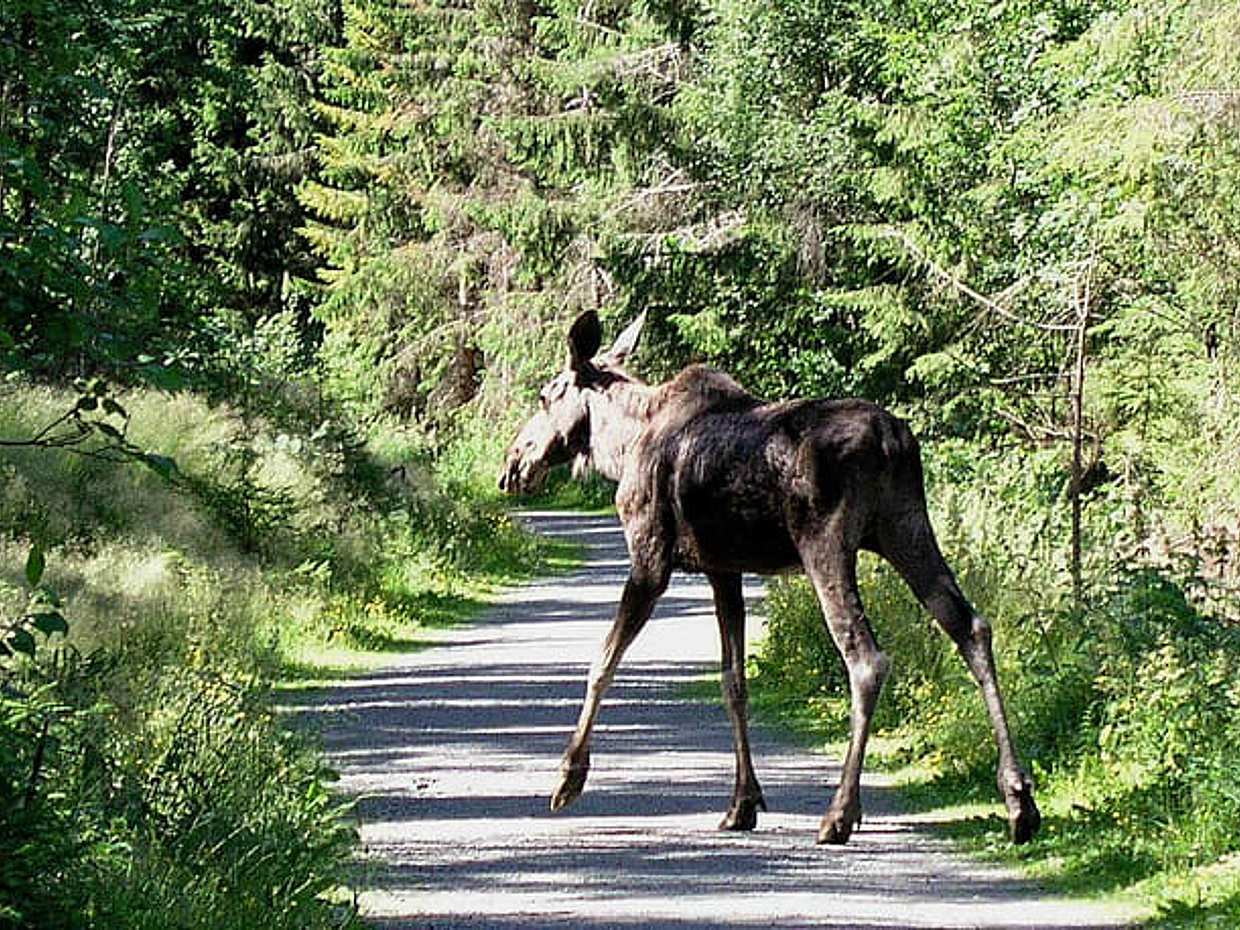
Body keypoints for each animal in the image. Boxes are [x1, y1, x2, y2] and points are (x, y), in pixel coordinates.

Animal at [498, 310, 1040, 846]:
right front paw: (742, 802)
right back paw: (1019, 799)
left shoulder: (650, 557)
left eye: (546, 396)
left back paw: (840, 812)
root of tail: (893, 442)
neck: (621, 444)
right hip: (907, 530)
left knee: (866, 658)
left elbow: (602, 661)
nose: (512, 464)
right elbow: (733, 681)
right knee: (971, 627)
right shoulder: (723, 569)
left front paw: (569, 776)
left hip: (826, 544)